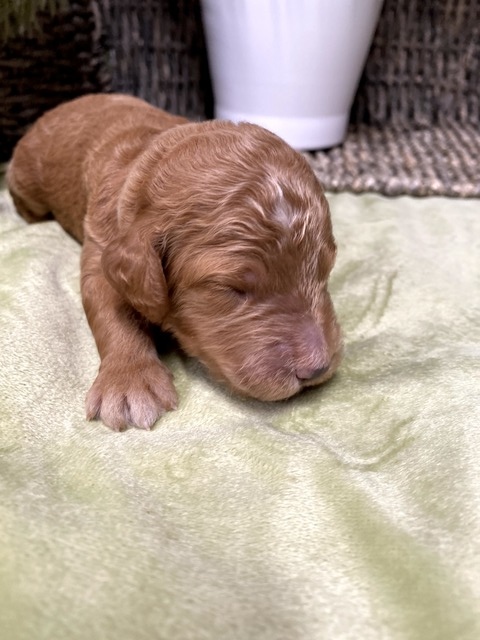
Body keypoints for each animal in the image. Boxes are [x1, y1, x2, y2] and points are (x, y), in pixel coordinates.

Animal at [8, 94, 344, 430]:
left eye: (325, 271)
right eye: (230, 288)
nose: (317, 368)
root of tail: (65, 104)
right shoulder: (101, 250)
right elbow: (112, 313)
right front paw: (128, 382)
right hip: (25, 180)